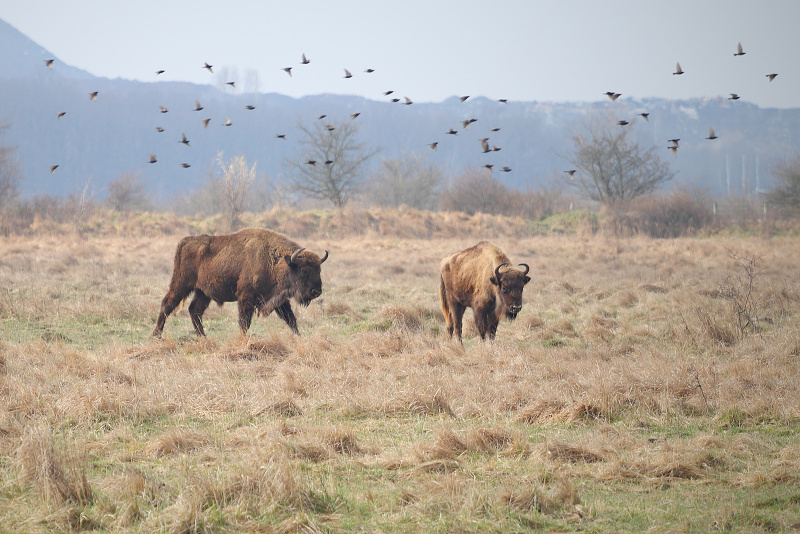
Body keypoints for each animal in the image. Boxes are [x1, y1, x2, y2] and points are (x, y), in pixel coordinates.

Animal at [153, 228, 328, 338]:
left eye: (319, 269)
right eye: (304, 270)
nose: (316, 291)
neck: (277, 260)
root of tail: (184, 241)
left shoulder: (279, 299)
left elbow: (290, 319)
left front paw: (299, 337)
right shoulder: (246, 298)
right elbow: (245, 322)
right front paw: (243, 339)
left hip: (203, 292)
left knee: (194, 310)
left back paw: (203, 337)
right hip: (181, 284)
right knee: (167, 304)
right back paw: (157, 334)